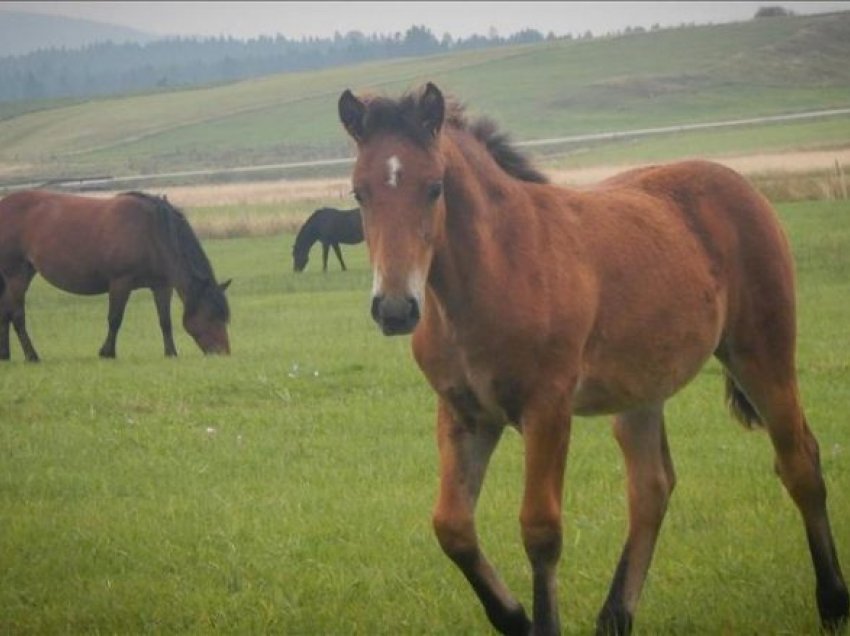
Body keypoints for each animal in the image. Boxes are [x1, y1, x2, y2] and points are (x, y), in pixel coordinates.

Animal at [0, 189, 232, 360]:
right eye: (212, 315)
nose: (224, 353)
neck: (152, 231)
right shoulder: (121, 282)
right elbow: (115, 318)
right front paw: (107, 352)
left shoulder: (161, 286)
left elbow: (165, 321)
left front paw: (171, 353)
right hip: (16, 275)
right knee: (17, 315)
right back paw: (32, 356)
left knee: (5, 313)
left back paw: (5, 355)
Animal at [336, 84, 840, 636]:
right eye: (359, 193)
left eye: (434, 187)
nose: (395, 309)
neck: (494, 272)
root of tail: (740, 185)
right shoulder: (465, 414)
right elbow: (452, 527)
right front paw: (516, 619)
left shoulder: (548, 408)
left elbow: (540, 529)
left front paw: (542, 623)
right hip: (642, 388)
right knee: (651, 487)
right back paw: (615, 617)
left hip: (762, 354)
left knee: (800, 461)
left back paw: (833, 602)